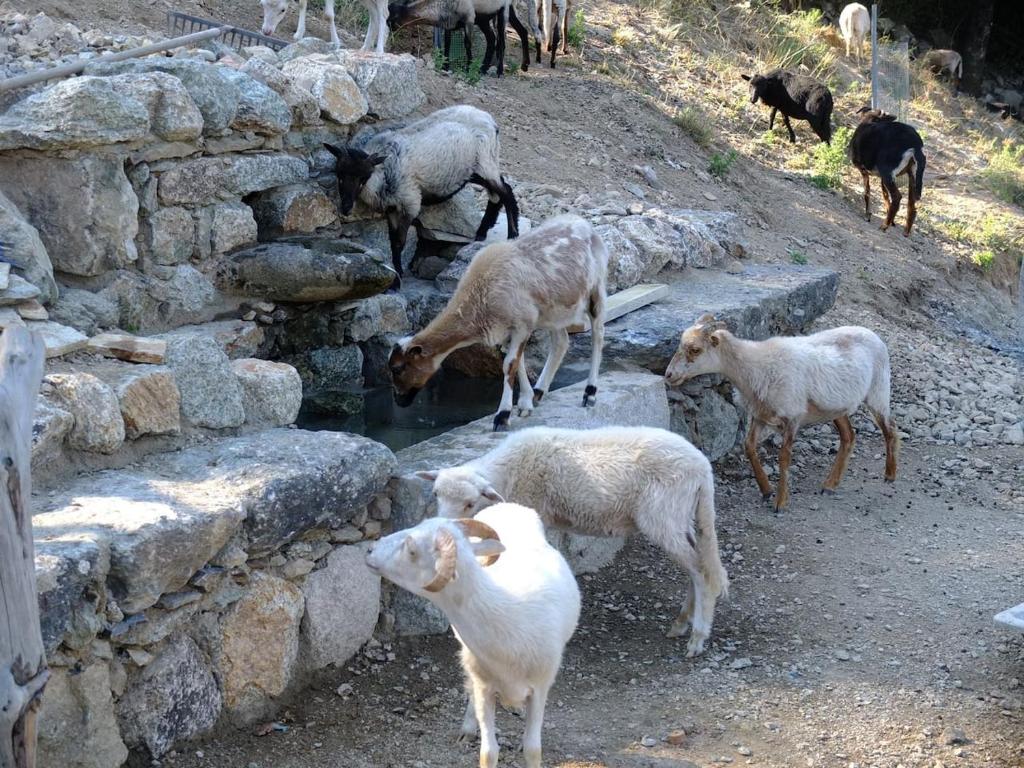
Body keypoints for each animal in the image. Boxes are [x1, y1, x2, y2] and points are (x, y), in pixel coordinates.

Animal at [387, 215, 602, 434]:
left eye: (398, 368)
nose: (399, 400)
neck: (479, 296)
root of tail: (582, 221)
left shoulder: (522, 324)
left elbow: (509, 365)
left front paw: (503, 416)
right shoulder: (507, 330)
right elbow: (517, 363)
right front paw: (525, 403)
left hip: (596, 289)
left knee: (598, 335)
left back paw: (590, 393)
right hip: (555, 309)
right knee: (561, 342)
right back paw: (539, 391)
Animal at [415, 423, 729, 659]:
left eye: (469, 503)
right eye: (436, 494)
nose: (442, 531)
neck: (508, 475)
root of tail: (702, 468)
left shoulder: (534, 512)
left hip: (664, 516)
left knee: (701, 572)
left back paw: (698, 637)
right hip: (679, 517)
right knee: (696, 568)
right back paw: (681, 623)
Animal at [663, 315, 897, 514]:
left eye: (695, 349)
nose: (668, 375)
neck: (753, 366)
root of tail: (872, 333)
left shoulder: (792, 416)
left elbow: (784, 457)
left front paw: (780, 501)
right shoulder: (759, 414)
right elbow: (749, 447)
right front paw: (766, 489)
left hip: (878, 391)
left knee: (890, 429)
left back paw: (890, 474)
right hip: (836, 406)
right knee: (848, 436)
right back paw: (830, 484)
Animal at [847, 107, 929, 236]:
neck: (872, 119)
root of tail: (915, 145)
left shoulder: (864, 170)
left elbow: (867, 192)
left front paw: (868, 215)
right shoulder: (882, 178)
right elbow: (885, 196)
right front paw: (892, 221)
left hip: (888, 173)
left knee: (897, 198)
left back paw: (884, 226)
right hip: (911, 176)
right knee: (912, 205)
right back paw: (905, 231)